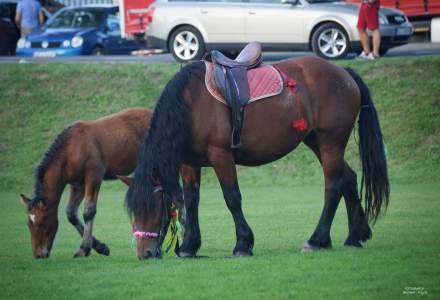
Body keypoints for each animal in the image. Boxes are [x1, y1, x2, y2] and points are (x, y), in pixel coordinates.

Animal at [20, 108, 153, 258]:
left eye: (42, 223)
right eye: (29, 224)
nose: (38, 255)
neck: (71, 150)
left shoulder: (94, 175)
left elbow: (89, 211)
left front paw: (84, 248)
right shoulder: (77, 184)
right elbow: (71, 213)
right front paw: (100, 247)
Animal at [124, 55, 388, 258]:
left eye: (154, 206)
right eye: (133, 211)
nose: (145, 253)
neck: (191, 104)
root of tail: (343, 72)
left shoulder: (221, 155)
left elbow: (232, 197)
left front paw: (243, 243)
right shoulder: (189, 163)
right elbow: (191, 199)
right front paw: (190, 245)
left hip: (331, 142)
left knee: (333, 186)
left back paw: (317, 239)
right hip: (317, 142)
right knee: (349, 178)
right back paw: (355, 235)